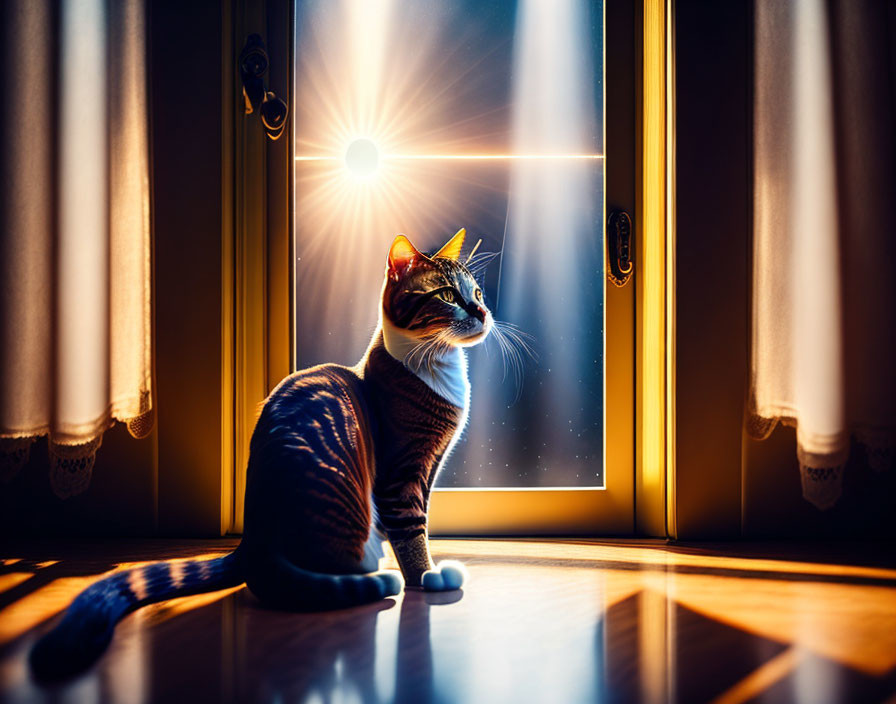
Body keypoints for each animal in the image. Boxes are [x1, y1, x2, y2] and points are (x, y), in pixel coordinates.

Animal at [35, 228, 494, 680]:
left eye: (477, 292)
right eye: (448, 295)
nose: (483, 311)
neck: (435, 367)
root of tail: (254, 540)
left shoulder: (430, 467)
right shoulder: (403, 472)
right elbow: (412, 527)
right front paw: (427, 576)